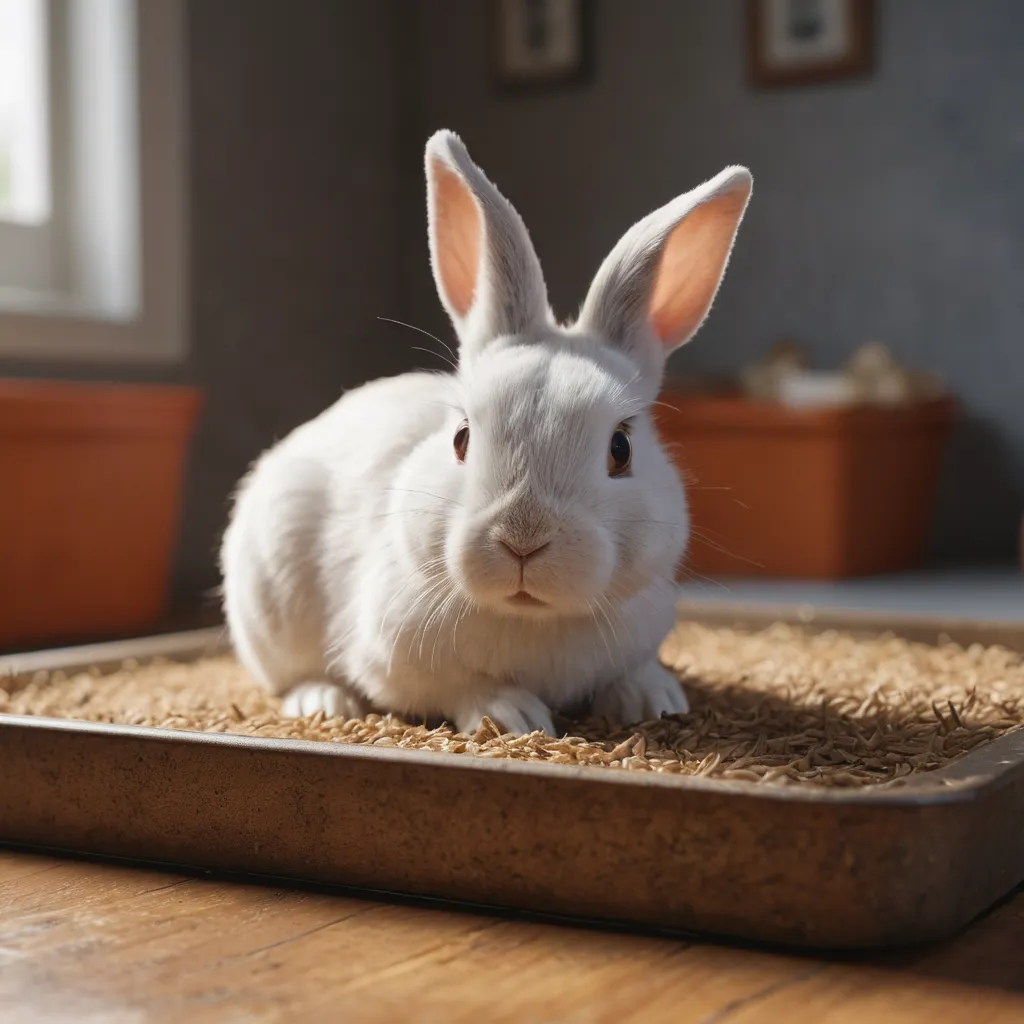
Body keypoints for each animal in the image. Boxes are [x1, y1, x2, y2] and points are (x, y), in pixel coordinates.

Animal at [220, 130, 752, 737]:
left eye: (621, 448)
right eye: (461, 438)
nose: (523, 538)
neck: (531, 620)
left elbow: (633, 671)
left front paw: (654, 699)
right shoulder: (392, 659)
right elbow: (459, 688)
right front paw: (512, 714)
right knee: (291, 677)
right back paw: (323, 701)